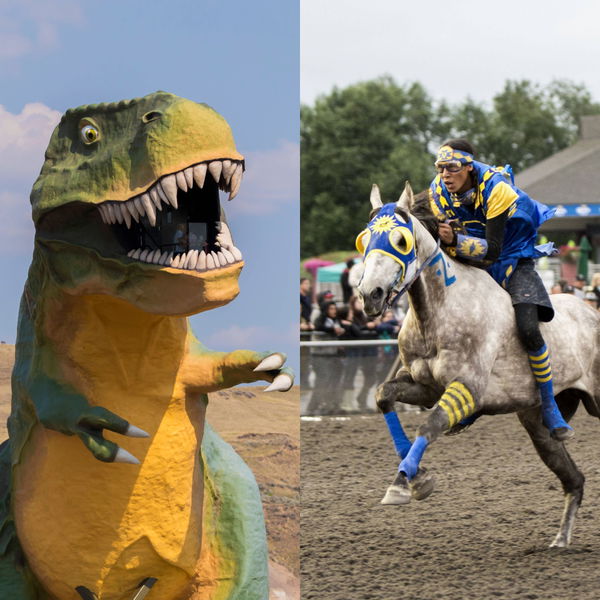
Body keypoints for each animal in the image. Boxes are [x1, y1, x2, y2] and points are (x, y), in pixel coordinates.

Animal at [358, 183, 600, 548]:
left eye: (400, 241)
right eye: (364, 239)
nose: (369, 294)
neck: (437, 313)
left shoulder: (468, 388)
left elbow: (429, 425)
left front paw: (405, 481)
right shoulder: (426, 388)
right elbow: (384, 395)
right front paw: (415, 477)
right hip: (538, 425)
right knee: (574, 479)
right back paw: (560, 539)